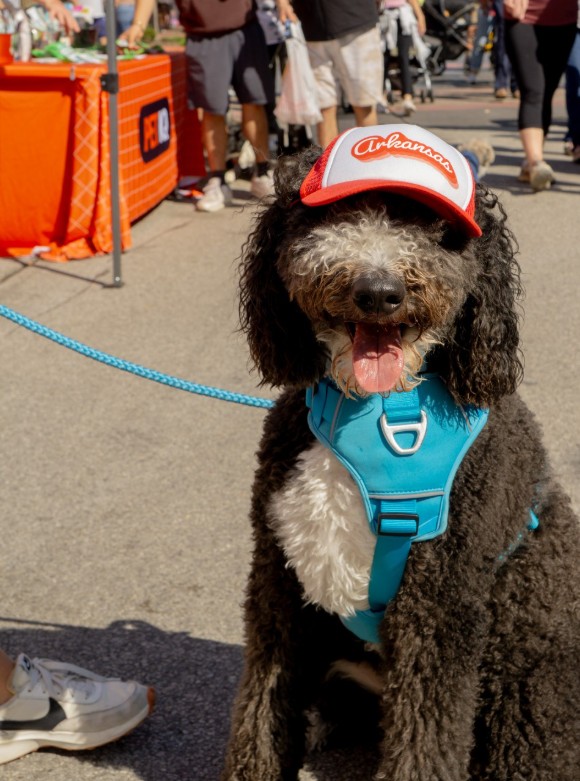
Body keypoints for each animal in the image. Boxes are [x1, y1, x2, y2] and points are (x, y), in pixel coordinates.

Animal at [221, 125, 579, 781]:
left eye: (436, 231)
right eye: (335, 215)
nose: (379, 291)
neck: (375, 413)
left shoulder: (438, 607)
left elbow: (424, 742)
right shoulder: (278, 584)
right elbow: (261, 708)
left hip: (531, 694)